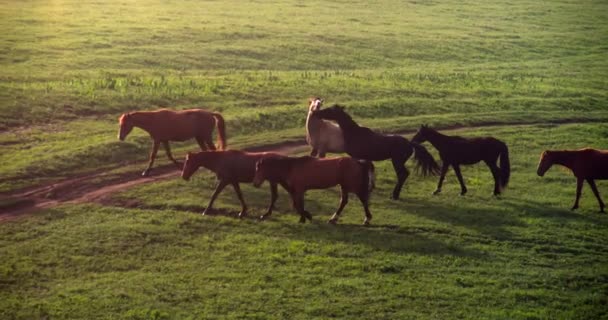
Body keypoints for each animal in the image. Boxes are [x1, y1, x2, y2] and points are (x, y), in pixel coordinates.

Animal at [312, 105, 440, 200]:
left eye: (329, 110)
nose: (315, 113)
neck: (354, 133)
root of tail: (410, 143)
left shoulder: (357, 157)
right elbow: (370, 169)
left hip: (397, 161)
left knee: (403, 174)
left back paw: (394, 195)